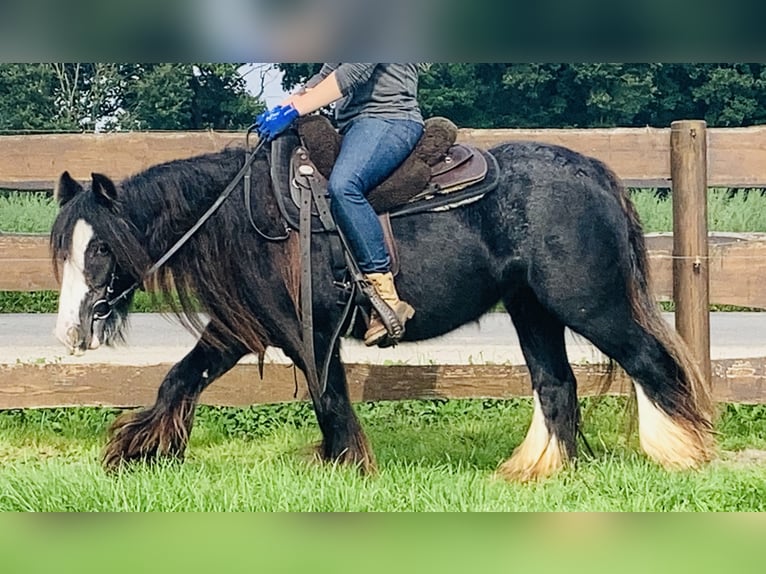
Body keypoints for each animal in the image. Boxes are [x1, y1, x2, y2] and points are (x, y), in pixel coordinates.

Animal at [52, 138, 712, 482]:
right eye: (64, 247)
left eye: (102, 247)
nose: (70, 333)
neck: (251, 215)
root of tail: (594, 171)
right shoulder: (242, 330)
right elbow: (178, 379)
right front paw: (136, 452)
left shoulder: (309, 334)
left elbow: (330, 400)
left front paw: (348, 467)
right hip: (533, 309)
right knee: (556, 385)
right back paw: (540, 470)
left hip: (589, 303)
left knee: (652, 364)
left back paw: (684, 454)